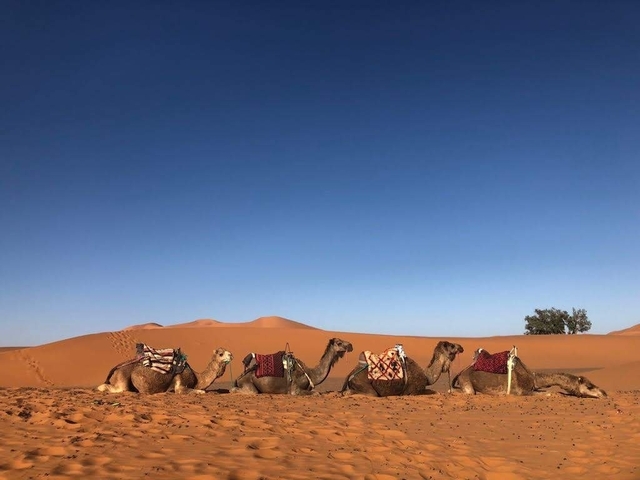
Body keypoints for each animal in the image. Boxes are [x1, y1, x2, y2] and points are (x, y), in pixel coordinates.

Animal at [97, 347, 233, 394]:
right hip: (123, 375)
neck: (197, 377)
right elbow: (200, 391)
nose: (231, 355)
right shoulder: (180, 384)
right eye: (221, 354)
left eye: (227, 351)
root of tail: (116, 368)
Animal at [451, 348, 607, 398]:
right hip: (467, 383)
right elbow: (549, 394)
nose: (604, 393)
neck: (533, 378)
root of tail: (460, 373)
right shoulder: (521, 392)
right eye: (589, 386)